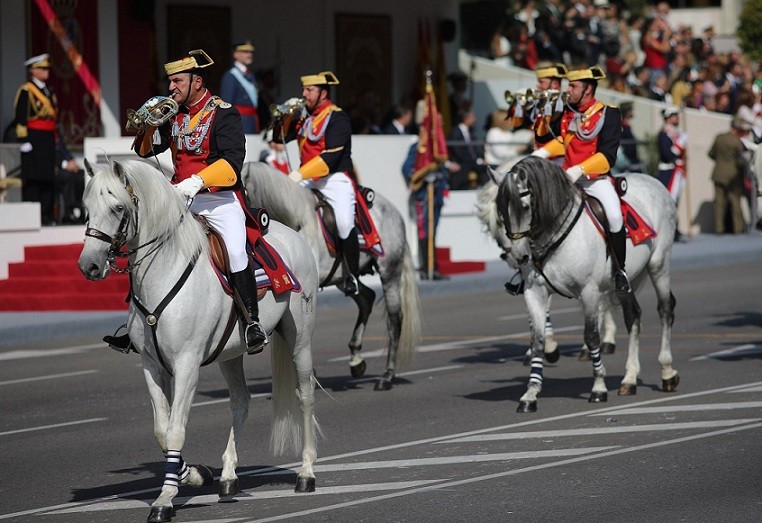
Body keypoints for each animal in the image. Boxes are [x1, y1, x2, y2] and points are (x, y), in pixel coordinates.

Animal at [75, 161, 316, 523]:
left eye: (117, 207)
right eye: (87, 209)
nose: (88, 265)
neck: (163, 271)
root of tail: (294, 236)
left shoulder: (187, 364)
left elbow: (175, 429)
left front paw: (165, 499)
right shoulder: (151, 365)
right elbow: (162, 431)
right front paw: (196, 475)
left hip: (299, 340)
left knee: (304, 396)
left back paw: (306, 473)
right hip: (230, 354)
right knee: (241, 401)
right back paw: (228, 476)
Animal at [242, 162, 422, 390]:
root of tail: (393, 211)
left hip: (389, 272)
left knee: (395, 319)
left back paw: (387, 376)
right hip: (343, 279)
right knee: (366, 298)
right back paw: (356, 358)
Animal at [476, 156, 676, 414]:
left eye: (526, 207)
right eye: (501, 212)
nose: (519, 257)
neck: (553, 235)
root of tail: (653, 180)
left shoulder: (589, 291)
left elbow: (591, 337)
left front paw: (598, 387)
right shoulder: (535, 292)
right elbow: (537, 340)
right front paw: (530, 394)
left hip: (659, 264)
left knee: (665, 309)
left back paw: (667, 372)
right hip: (625, 281)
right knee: (633, 315)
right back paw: (629, 379)